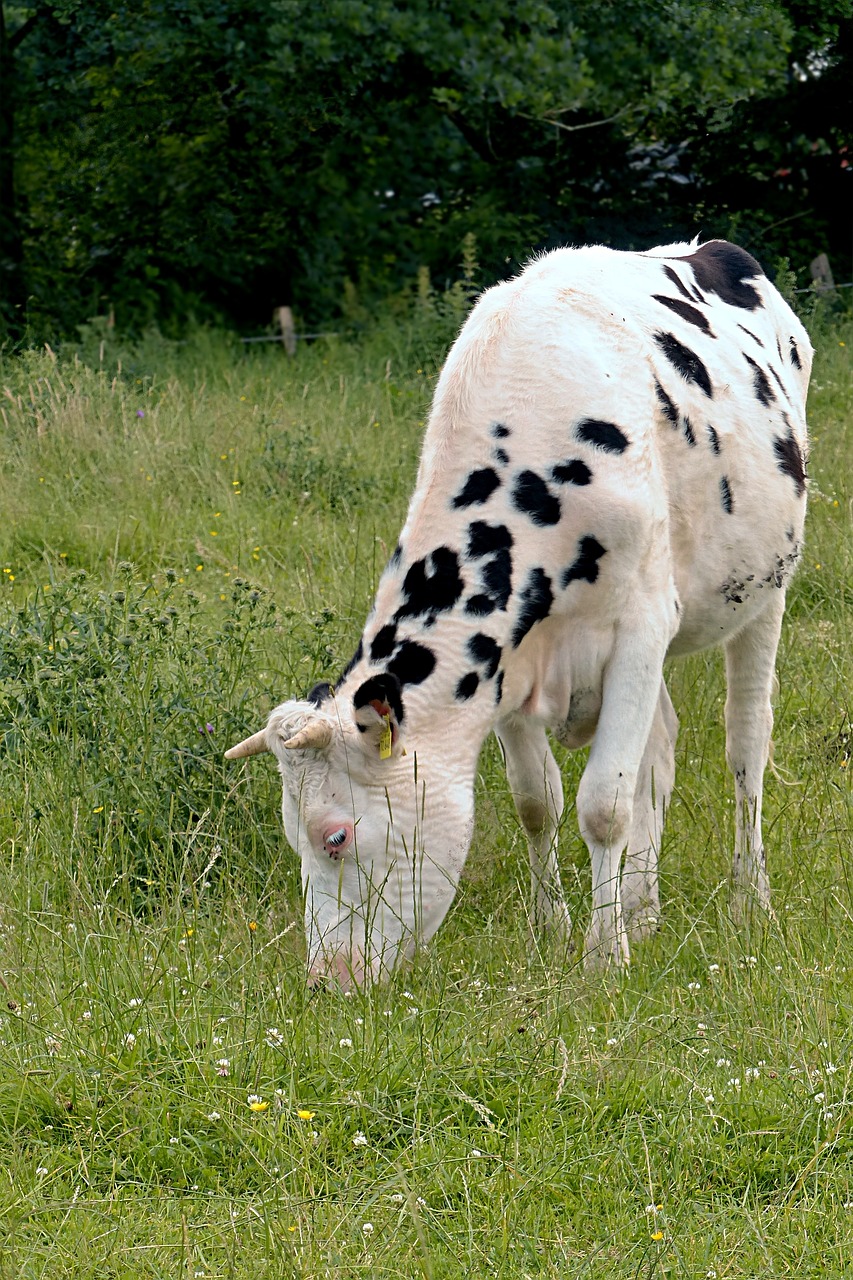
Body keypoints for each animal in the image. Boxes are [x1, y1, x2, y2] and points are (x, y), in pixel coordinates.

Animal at [225, 235, 809, 983]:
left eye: (335, 836)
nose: (328, 979)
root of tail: (705, 247)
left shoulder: (641, 627)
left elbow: (604, 803)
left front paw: (603, 956)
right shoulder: (506, 662)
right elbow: (539, 801)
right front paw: (554, 928)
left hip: (764, 590)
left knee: (745, 743)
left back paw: (747, 898)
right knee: (660, 750)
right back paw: (643, 909)